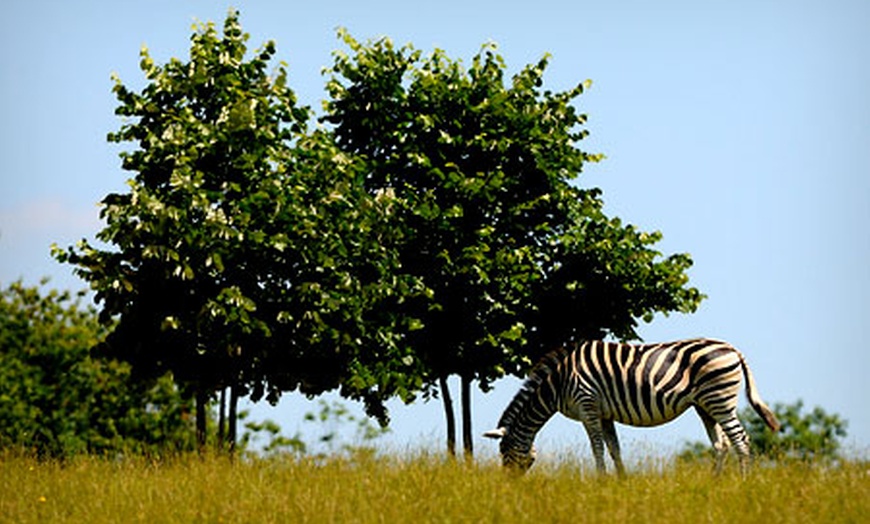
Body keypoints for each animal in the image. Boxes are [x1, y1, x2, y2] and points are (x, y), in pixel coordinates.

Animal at [484, 338, 784, 476]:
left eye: (504, 453)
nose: (509, 486)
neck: (559, 382)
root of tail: (733, 349)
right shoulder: (603, 413)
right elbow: (614, 448)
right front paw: (621, 481)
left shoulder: (587, 405)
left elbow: (597, 448)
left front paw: (602, 481)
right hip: (705, 405)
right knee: (721, 444)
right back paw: (715, 483)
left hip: (719, 400)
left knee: (741, 440)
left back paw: (743, 483)